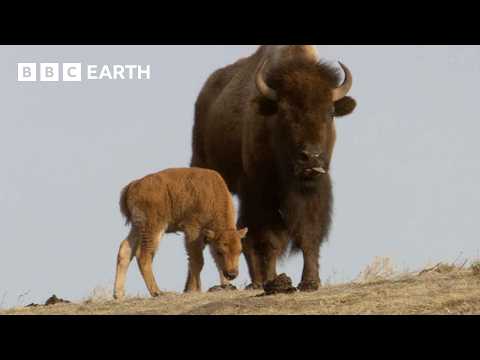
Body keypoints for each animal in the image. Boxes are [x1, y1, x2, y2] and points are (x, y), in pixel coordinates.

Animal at [113, 167, 248, 300]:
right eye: (220, 251)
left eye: (240, 251)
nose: (232, 274)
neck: (212, 194)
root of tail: (132, 186)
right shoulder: (193, 231)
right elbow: (197, 261)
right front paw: (195, 289)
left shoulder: (205, 239)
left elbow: (200, 262)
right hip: (153, 228)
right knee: (143, 255)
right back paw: (157, 292)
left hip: (137, 227)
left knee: (125, 250)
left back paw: (118, 294)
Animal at [191, 45, 356, 292]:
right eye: (285, 112)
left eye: (330, 112)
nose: (311, 158)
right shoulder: (261, 193)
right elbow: (268, 239)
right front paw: (273, 281)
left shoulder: (313, 191)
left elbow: (308, 233)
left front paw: (309, 282)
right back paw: (251, 283)